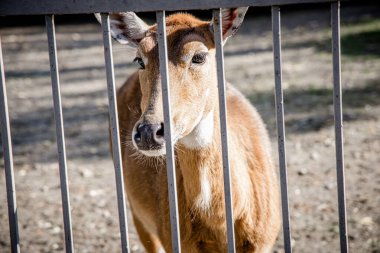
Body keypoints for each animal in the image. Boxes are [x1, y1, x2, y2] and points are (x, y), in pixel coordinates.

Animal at [96, 7, 280, 253]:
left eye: (199, 56)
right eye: (139, 59)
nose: (149, 131)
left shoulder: (264, 239)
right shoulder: (171, 237)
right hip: (137, 211)